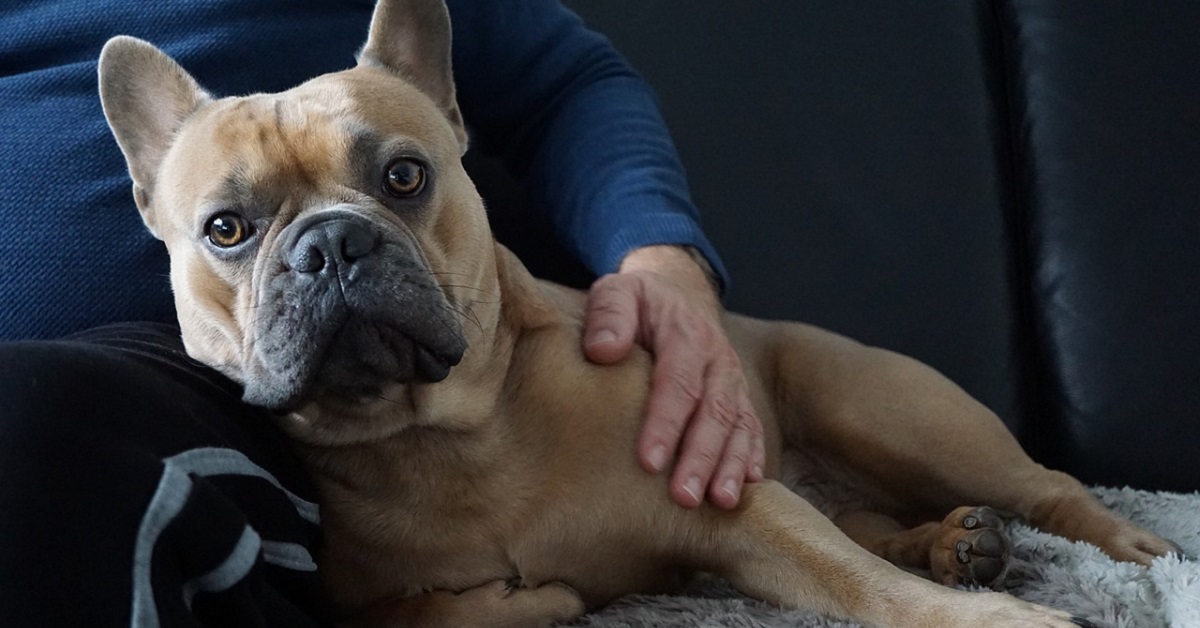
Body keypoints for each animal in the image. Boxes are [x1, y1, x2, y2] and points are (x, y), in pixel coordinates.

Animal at [96, 2, 1180, 624]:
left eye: (404, 176)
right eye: (226, 229)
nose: (329, 243)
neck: (442, 439)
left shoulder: (738, 505)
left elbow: (854, 584)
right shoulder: (361, 605)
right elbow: (432, 613)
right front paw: (529, 597)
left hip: (887, 412)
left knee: (1043, 487)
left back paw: (1121, 547)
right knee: (873, 523)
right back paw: (956, 543)